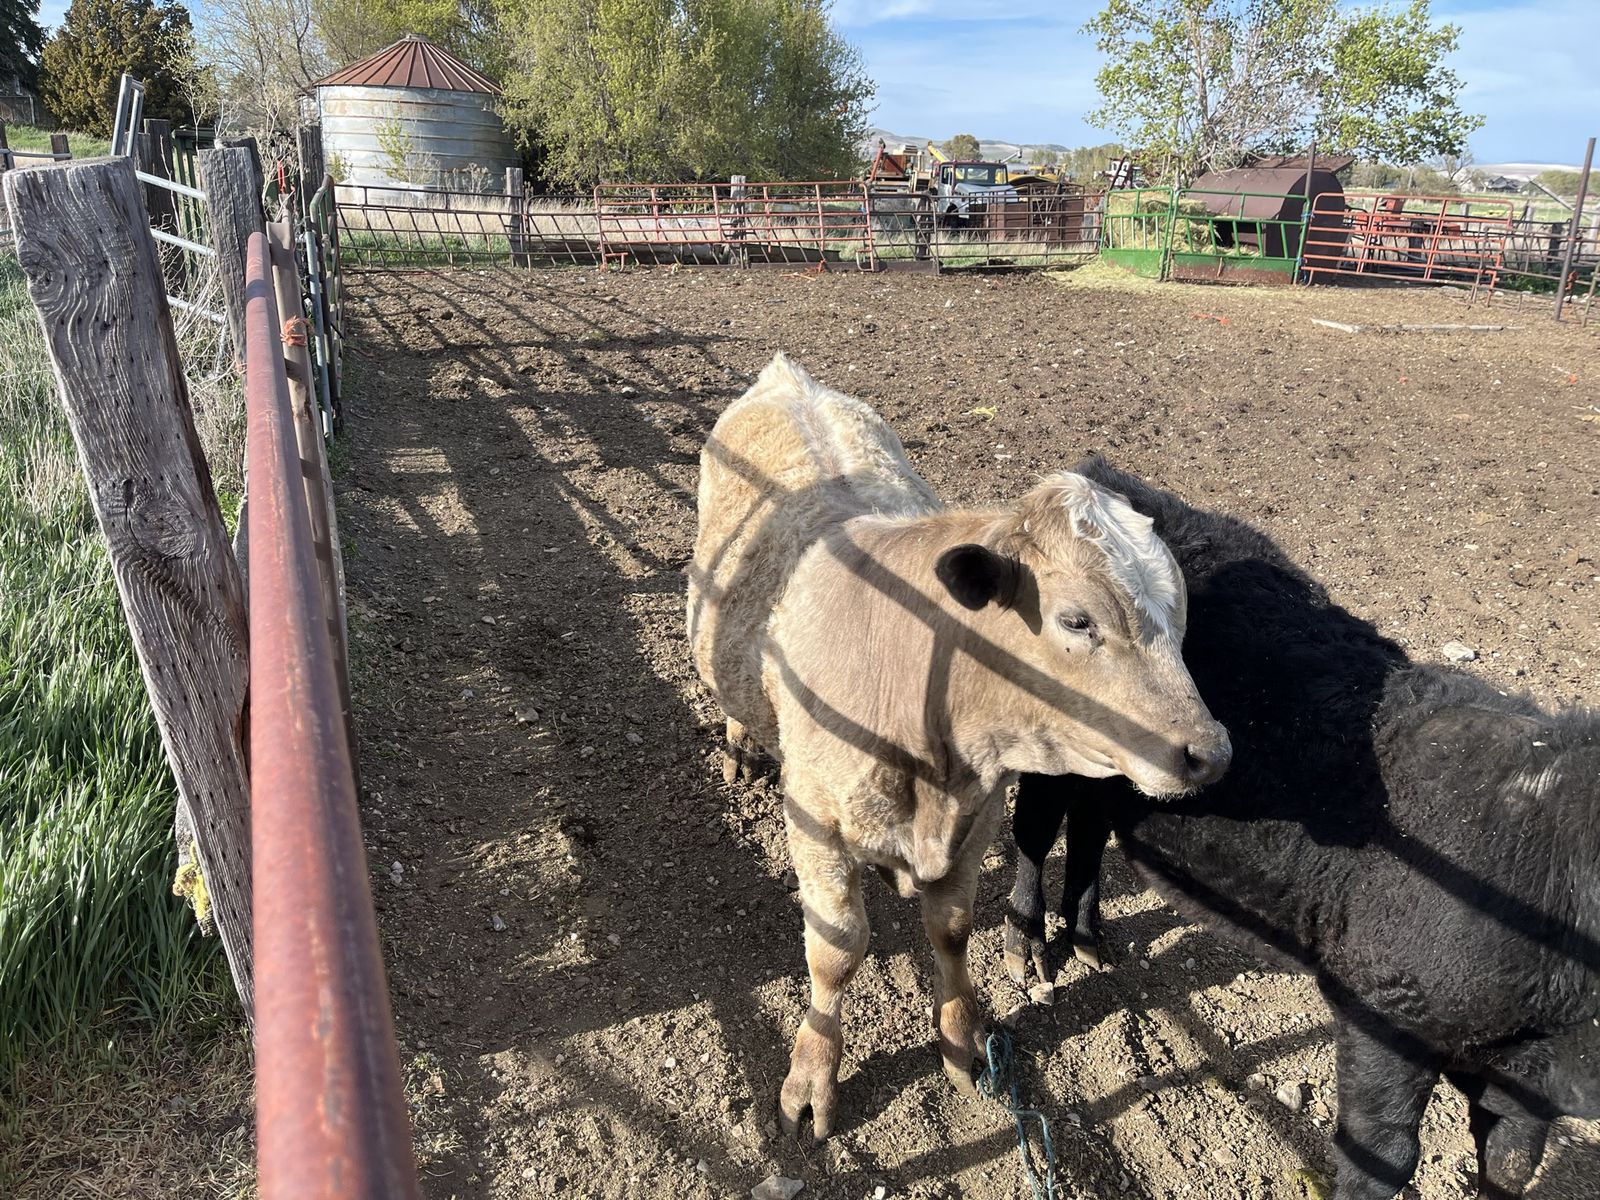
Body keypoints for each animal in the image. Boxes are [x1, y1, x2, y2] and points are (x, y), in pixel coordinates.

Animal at [687, 355, 1230, 1140]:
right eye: (1077, 620)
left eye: (1183, 617)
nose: (1210, 752)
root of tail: (788, 377)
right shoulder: (814, 819)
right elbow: (836, 949)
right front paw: (813, 1075)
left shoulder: (978, 817)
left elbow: (951, 931)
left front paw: (962, 1041)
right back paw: (739, 745)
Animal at [1006, 456, 1600, 1200]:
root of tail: (1096, 474)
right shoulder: (1381, 1006)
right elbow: (1384, 1151)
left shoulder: (1524, 1087)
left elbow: (1513, 1161)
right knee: (1035, 827)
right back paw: (1027, 952)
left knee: (1088, 828)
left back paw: (1090, 944)